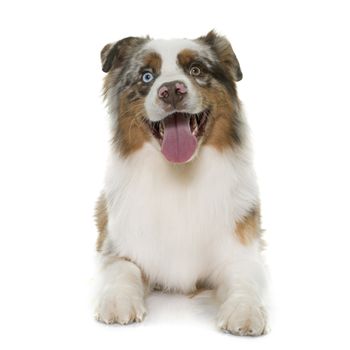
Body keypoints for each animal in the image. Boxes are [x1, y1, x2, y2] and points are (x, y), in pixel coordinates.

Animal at [93, 31, 268, 334]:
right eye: (147, 76)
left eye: (196, 70)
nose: (172, 90)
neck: (180, 175)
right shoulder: (118, 247)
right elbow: (122, 269)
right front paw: (117, 302)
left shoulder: (241, 250)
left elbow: (244, 279)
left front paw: (244, 311)